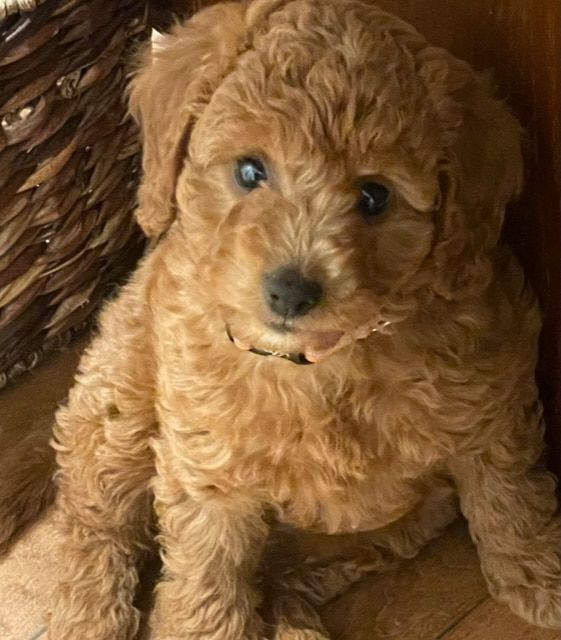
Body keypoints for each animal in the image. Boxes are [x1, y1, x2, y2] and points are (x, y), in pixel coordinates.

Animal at [5, 1, 560, 640]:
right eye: (249, 172)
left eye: (375, 196)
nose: (291, 291)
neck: (321, 363)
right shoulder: (206, 469)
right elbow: (207, 579)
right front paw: (200, 627)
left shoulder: (492, 395)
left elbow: (508, 492)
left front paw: (540, 576)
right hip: (118, 399)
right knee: (97, 520)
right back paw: (88, 613)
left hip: (380, 527)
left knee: (288, 575)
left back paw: (294, 616)